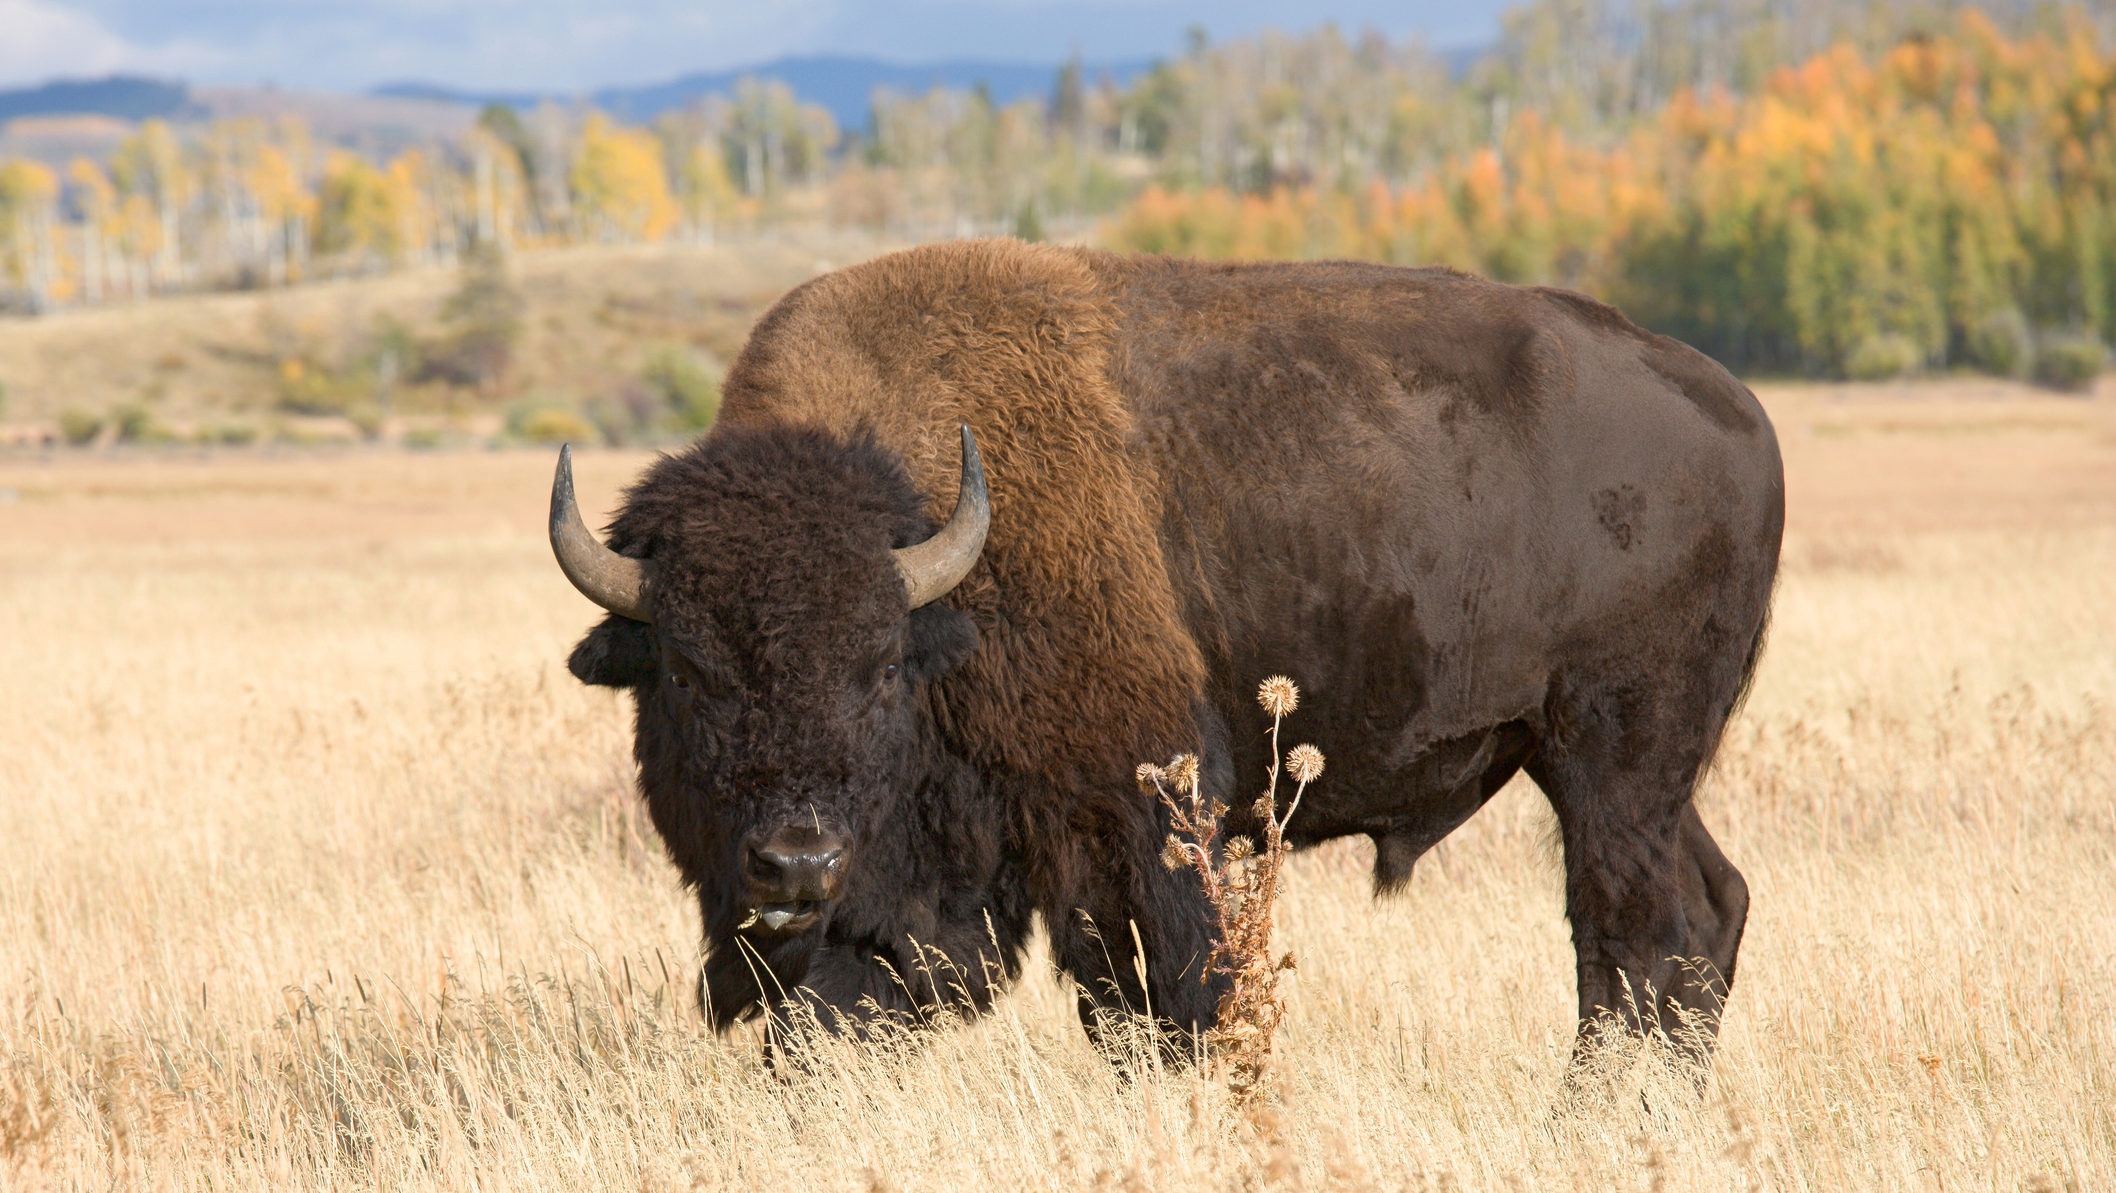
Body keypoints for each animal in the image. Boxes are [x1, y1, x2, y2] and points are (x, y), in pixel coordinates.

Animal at [550, 237, 1785, 1074]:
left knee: (1636, 929)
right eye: (689, 671)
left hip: (1611, 758)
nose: (795, 862)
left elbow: (1163, 1000)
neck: (944, 576)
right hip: (1609, 768)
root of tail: (1736, 412)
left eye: (875, 666)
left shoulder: (1137, 824)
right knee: (1707, 908)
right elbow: (837, 1015)